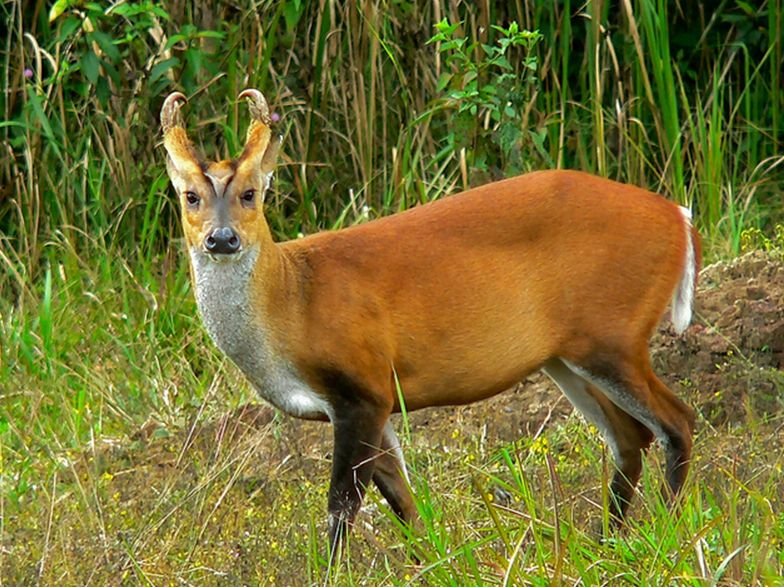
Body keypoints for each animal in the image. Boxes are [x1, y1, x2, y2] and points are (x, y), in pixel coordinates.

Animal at [162, 89, 700, 552]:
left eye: (251, 193)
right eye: (190, 196)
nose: (222, 239)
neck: (293, 302)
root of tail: (679, 217)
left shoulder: (363, 386)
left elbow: (342, 507)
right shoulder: (367, 402)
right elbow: (404, 504)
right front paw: (431, 562)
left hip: (612, 333)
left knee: (678, 420)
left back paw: (666, 535)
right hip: (568, 356)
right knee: (631, 437)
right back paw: (606, 542)